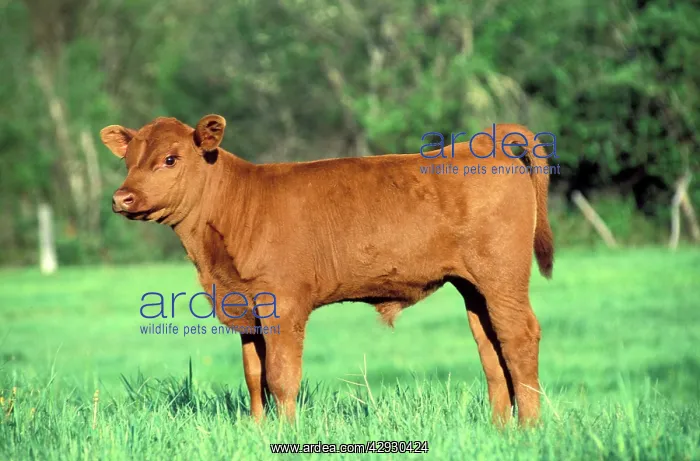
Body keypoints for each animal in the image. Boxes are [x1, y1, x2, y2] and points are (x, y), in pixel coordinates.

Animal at [100, 115, 554, 427]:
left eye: (170, 159)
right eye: (128, 160)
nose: (122, 198)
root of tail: (482, 144)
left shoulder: (283, 305)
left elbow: (281, 376)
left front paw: (286, 433)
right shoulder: (244, 307)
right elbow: (253, 375)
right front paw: (257, 431)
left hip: (502, 276)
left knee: (519, 336)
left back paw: (529, 427)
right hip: (474, 286)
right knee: (490, 346)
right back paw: (500, 427)